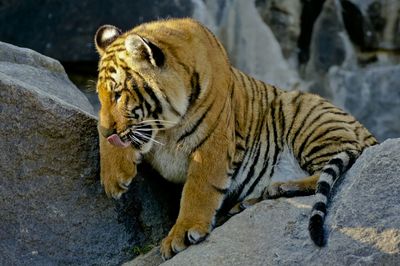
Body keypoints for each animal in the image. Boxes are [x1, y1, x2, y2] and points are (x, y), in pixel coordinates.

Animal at [94, 17, 378, 258]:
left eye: (118, 94)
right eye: (101, 96)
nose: (109, 132)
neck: (166, 126)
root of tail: (370, 137)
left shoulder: (213, 144)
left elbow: (198, 190)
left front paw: (181, 235)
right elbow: (106, 130)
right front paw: (113, 178)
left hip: (307, 118)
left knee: (334, 166)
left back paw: (280, 187)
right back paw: (251, 200)